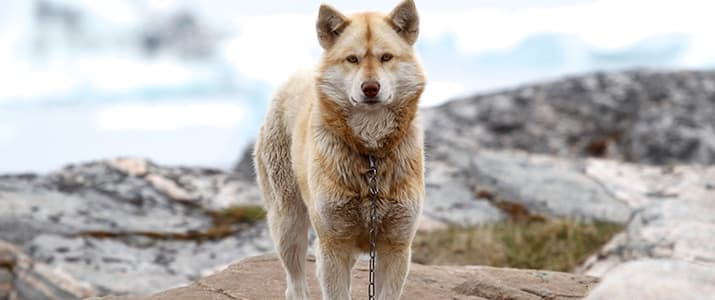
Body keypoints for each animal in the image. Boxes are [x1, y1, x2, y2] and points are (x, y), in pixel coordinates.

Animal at [255, 1, 426, 298]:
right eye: (352, 59)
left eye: (386, 57)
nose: (370, 88)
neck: (370, 155)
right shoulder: (334, 244)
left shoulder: (396, 246)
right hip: (288, 222)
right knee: (295, 282)